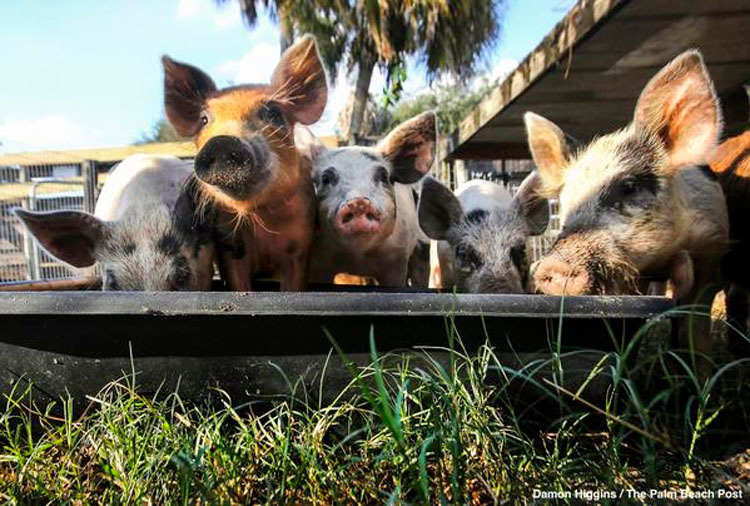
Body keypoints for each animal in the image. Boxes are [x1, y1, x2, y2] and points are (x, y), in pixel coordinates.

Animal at [162, 33, 326, 290]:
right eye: (203, 120)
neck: (262, 219)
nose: (222, 142)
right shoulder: (229, 246)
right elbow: (239, 283)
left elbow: (294, 285)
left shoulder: (300, 245)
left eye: (273, 113)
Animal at [296, 112, 440, 286]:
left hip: (422, 247)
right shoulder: (318, 262)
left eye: (384, 176)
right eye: (326, 179)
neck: (358, 257)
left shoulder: (397, 261)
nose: (358, 202)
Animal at [524, 50, 732, 360]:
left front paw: (700, 370)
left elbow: (695, 331)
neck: (662, 258)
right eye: (564, 204)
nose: (550, 266)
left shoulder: (710, 250)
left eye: (629, 186)